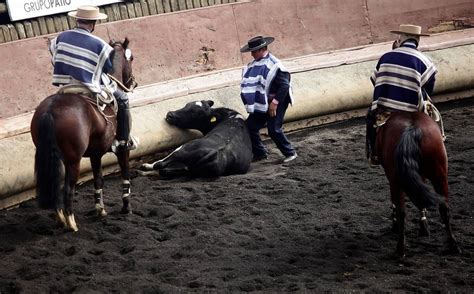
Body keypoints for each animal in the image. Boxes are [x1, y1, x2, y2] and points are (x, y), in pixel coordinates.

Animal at [31, 38, 137, 232]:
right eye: (131, 58)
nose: (132, 82)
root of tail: (51, 109)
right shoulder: (122, 150)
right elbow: (124, 174)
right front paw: (126, 207)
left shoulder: (96, 154)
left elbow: (98, 180)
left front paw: (100, 210)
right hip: (73, 161)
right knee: (67, 189)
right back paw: (71, 222)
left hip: (56, 157)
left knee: (56, 183)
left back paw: (60, 217)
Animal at [376, 111, 462, 258]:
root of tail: (413, 128)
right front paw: (424, 227)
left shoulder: (392, 180)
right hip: (439, 176)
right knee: (444, 209)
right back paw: (453, 246)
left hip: (396, 180)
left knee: (401, 212)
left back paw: (400, 249)